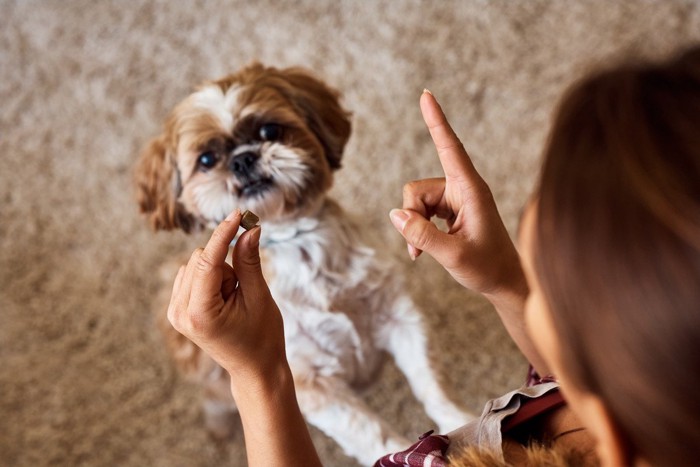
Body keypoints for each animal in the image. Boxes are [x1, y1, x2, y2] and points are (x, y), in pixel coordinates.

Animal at [134, 64, 474, 466]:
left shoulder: (399, 320)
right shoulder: (311, 382)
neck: (303, 246)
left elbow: (432, 383)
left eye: (269, 131)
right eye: (206, 160)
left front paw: (461, 423)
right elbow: (371, 433)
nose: (243, 159)